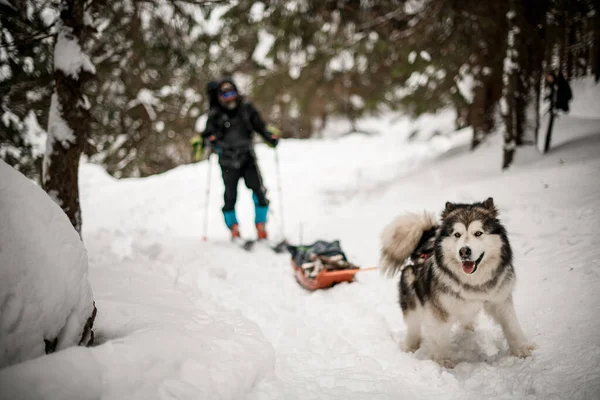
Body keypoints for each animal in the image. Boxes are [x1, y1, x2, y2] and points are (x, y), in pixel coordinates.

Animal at [380, 198, 536, 368]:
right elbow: (440, 338)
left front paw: (521, 349)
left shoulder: (500, 299)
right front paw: (442, 362)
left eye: (478, 233)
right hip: (411, 292)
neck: (474, 282)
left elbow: (512, 325)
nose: (464, 251)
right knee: (413, 326)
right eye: (457, 234)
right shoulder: (438, 310)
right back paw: (410, 346)